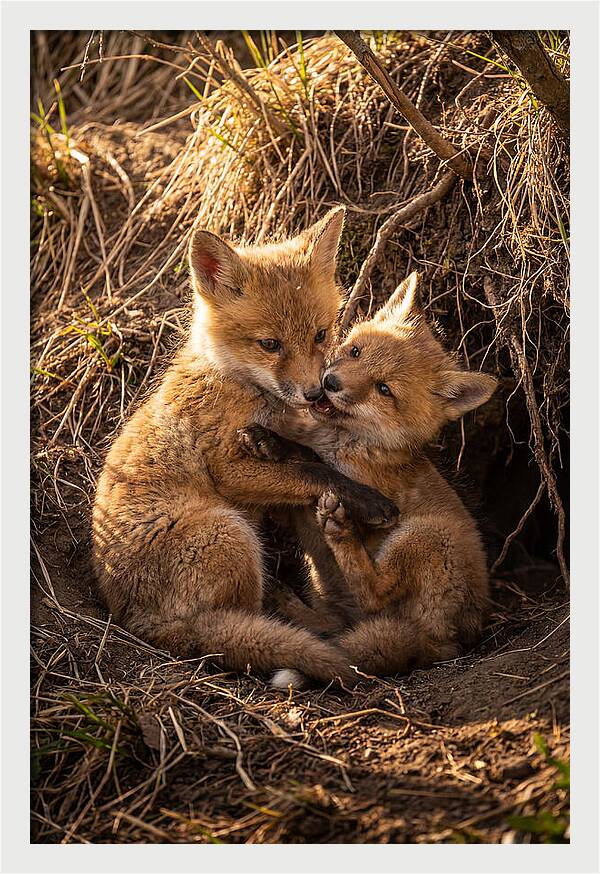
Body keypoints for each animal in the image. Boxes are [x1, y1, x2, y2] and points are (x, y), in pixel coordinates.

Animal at [91, 206, 398, 687]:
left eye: (320, 334)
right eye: (270, 344)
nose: (315, 393)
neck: (236, 384)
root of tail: (137, 622)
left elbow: (306, 456)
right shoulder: (228, 468)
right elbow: (313, 471)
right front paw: (368, 501)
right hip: (230, 532)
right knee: (244, 623)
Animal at [237, 271, 498, 689]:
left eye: (384, 389)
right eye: (356, 351)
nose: (330, 382)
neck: (346, 441)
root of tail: (451, 643)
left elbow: (314, 462)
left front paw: (278, 445)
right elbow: (302, 457)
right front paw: (268, 439)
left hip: (424, 536)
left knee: (375, 592)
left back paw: (339, 532)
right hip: (330, 588)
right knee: (336, 624)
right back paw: (290, 604)